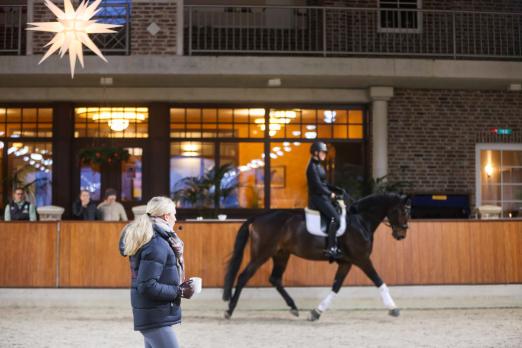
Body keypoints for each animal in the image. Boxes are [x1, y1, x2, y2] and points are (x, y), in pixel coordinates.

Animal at [221, 193, 408, 320]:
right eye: (401, 211)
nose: (401, 235)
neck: (360, 221)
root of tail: (258, 217)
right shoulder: (362, 259)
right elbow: (379, 281)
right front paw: (393, 308)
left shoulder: (346, 263)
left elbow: (336, 287)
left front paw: (316, 312)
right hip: (262, 254)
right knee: (244, 276)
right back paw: (229, 310)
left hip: (281, 254)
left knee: (275, 279)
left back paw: (293, 307)